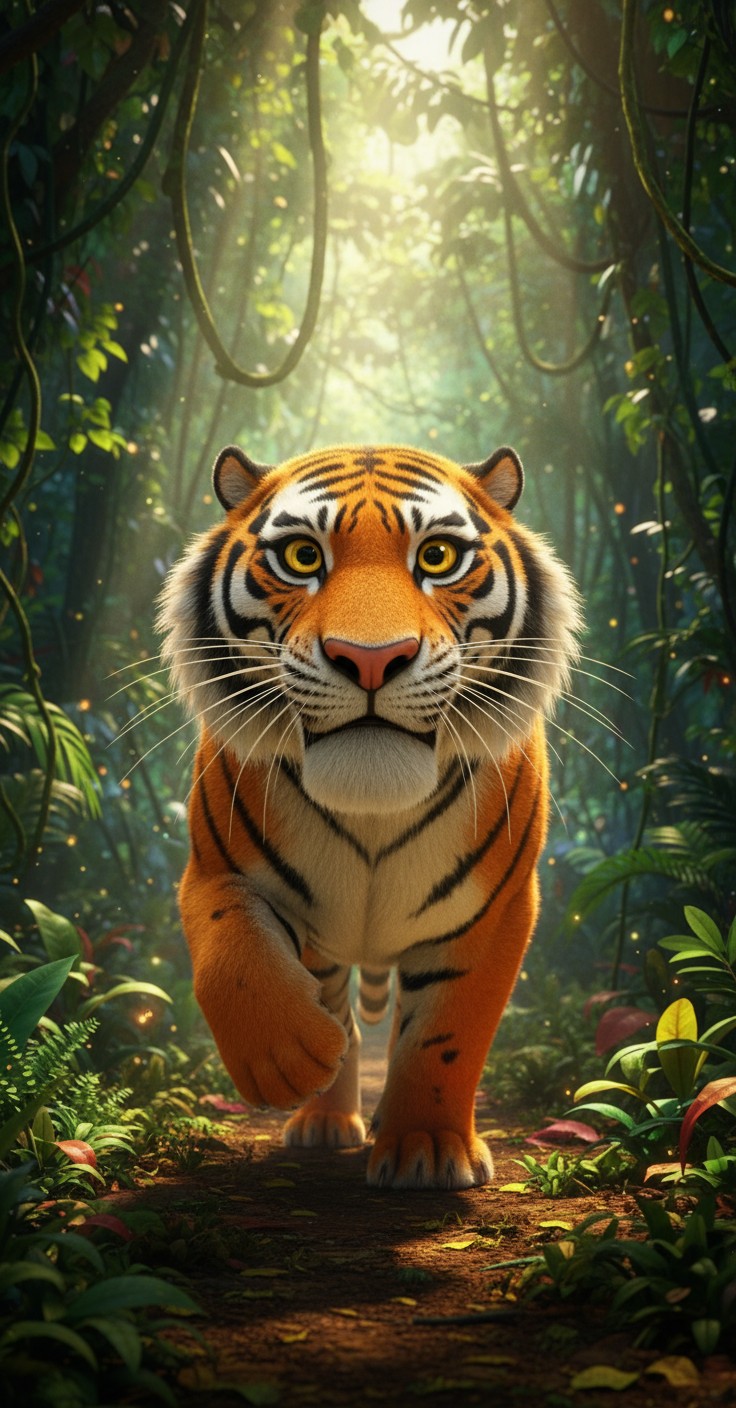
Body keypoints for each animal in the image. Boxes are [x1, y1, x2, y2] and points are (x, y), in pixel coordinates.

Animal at [158, 441, 581, 1189]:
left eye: (437, 557)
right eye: (302, 556)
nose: (372, 659)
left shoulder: (495, 909)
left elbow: (447, 1035)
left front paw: (428, 1150)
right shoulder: (212, 868)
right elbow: (228, 955)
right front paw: (284, 1058)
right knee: (336, 1005)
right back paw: (324, 1118)